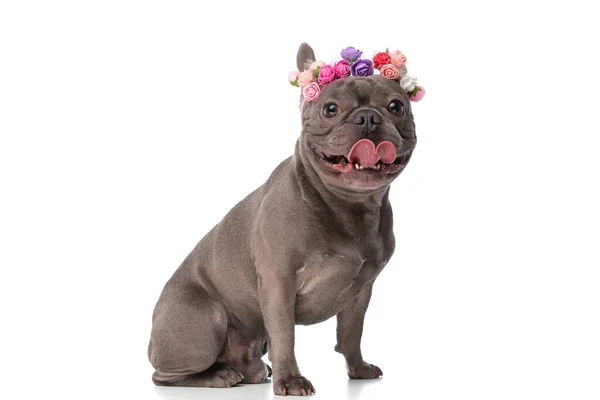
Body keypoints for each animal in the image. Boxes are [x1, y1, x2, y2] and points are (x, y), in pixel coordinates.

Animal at [148, 42, 418, 396]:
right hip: (206, 319)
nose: (368, 117)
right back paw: (216, 376)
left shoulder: (361, 292)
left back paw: (249, 371)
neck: (348, 204)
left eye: (396, 106)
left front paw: (358, 369)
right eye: (330, 109)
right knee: (165, 376)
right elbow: (285, 337)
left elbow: (351, 334)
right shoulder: (279, 284)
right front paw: (290, 380)